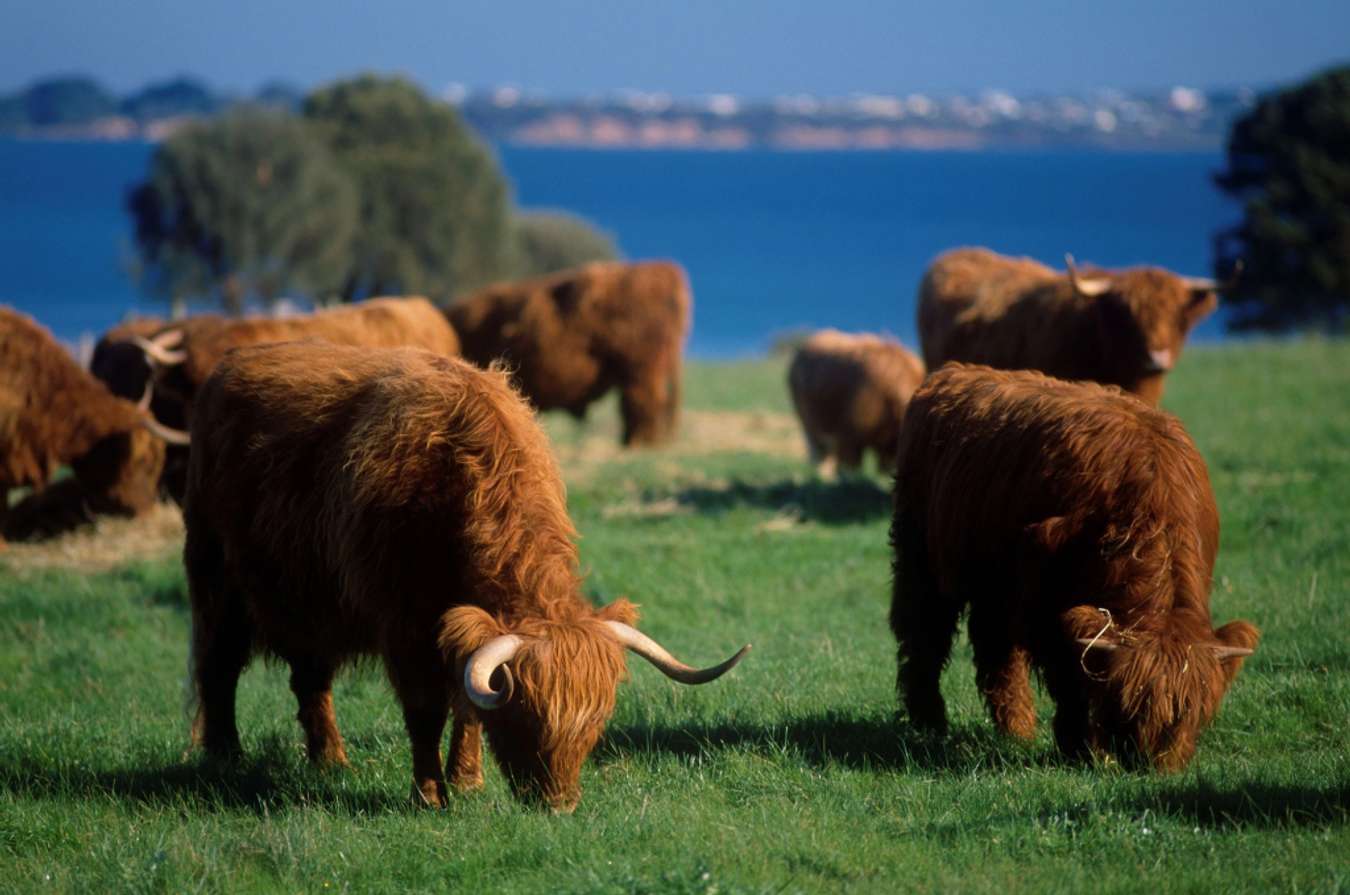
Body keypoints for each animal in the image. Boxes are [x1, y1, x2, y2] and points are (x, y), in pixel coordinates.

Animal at [891, 361, 1258, 772]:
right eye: (1129, 705)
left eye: (1190, 711)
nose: (1151, 763)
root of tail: (953, 372)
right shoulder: (1045, 600)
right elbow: (1068, 676)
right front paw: (1083, 746)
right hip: (920, 558)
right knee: (924, 633)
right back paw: (928, 719)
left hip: (993, 583)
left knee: (994, 647)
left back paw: (1016, 729)